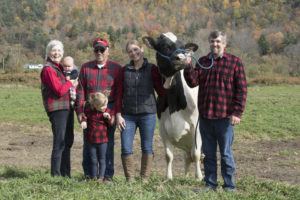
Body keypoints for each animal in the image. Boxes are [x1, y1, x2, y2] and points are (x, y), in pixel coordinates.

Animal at [142, 32, 203, 180]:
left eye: (183, 48)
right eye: (164, 46)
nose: (181, 58)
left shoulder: (196, 126)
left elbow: (196, 154)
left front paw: (199, 177)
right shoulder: (163, 128)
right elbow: (168, 155)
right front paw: (168, 177)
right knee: (187, 157)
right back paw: (186, 176)